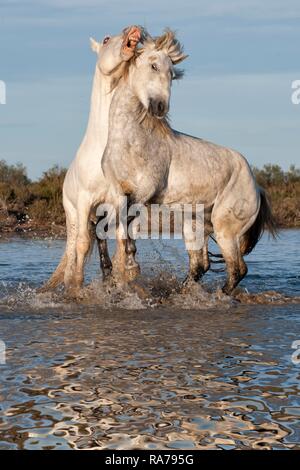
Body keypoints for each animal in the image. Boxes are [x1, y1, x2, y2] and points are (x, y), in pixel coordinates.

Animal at [42, 25, 143, 292]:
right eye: (106, 39)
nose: (133, 31)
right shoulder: (86, 200)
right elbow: (82, 244)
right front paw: (76, 286)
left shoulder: (119, 200)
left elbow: (121, 240)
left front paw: (124, 276)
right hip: (74, 214)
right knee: (76, 246)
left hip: (101, 214)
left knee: (102, 240)